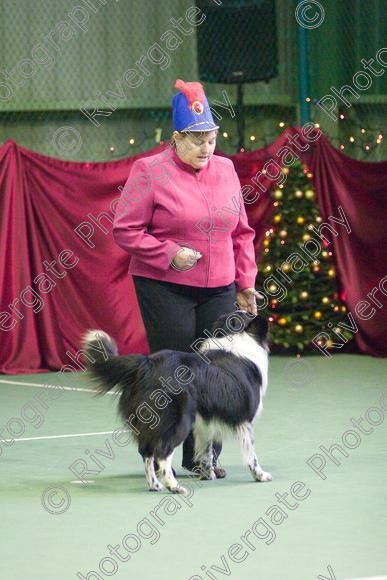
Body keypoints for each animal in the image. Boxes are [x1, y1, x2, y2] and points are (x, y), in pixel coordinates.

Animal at [82, 312, 270, 494]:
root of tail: (146, 364)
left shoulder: (206, 423)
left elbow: (206, 452)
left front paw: (207, 475)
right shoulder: (244, 421)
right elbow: (251, 454)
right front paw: (260, 475)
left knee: (146, 452)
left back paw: (155, 485)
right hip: (177, 421)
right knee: (162, 452)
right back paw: (174, 487)